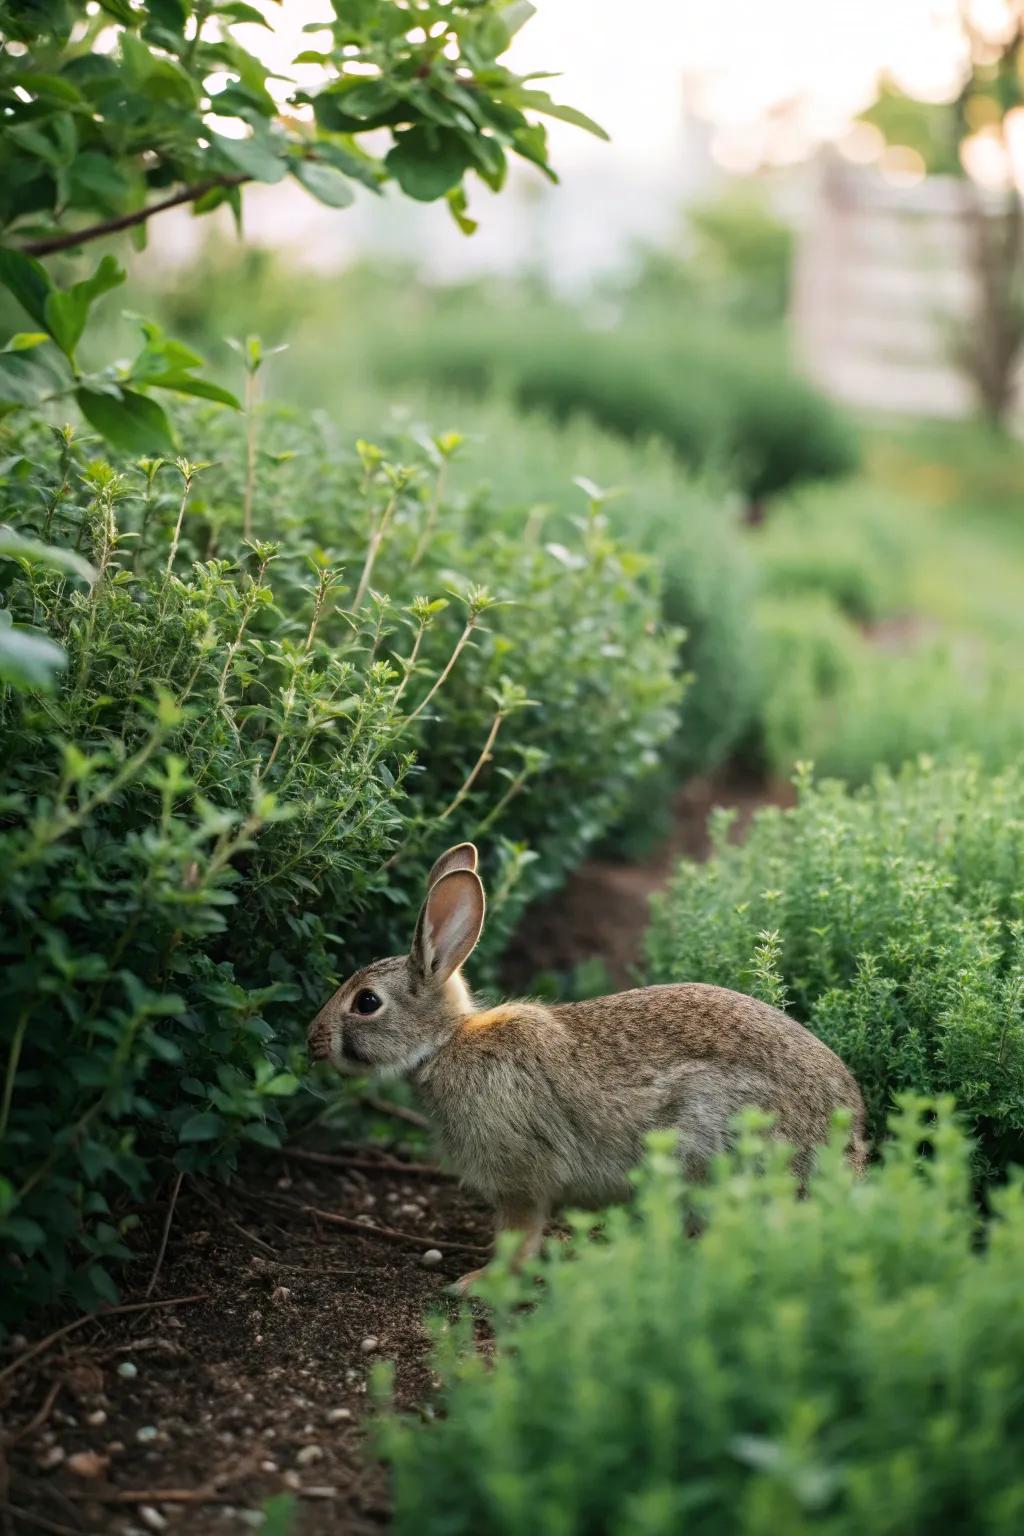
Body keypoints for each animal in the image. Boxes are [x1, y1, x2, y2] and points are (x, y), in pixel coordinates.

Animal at [308, 843, 867, 1294]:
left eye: (366, 1003)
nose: (312, 1040)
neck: (445, 1044)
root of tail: (845, 1153)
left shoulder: (519, 1176)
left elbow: (518, 1234)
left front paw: (479, 1282)